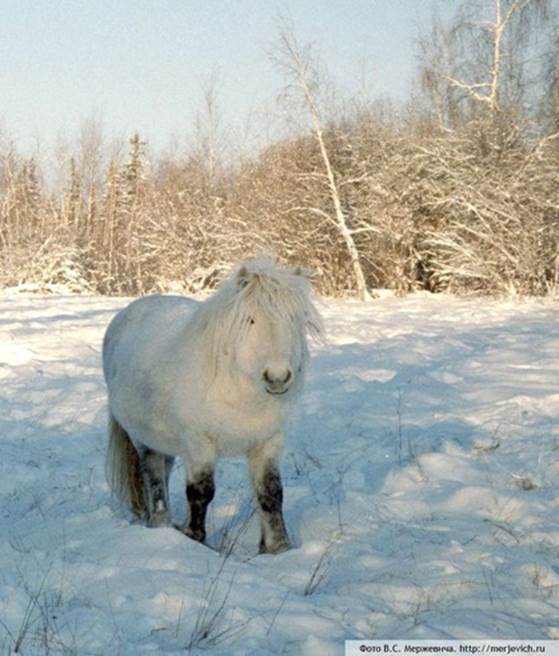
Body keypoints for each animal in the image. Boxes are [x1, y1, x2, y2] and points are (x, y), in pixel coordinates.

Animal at [101, 256, 324, 552]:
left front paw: (278, 548)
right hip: (143, 440)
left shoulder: (268, 443)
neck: (237, 390)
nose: (277, 377)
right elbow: (201, 492)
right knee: (155, 479)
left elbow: (271, 493)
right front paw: (196, 539)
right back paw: (161, 525)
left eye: (293, 320)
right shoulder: (199, 444)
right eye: (251, 320)